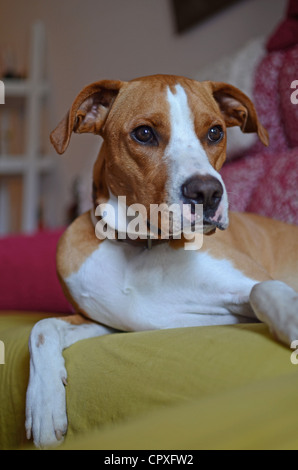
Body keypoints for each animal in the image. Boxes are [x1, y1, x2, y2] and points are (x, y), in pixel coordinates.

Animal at [25, 74, 298, 448]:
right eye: (144, 133)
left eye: (215, 132)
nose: (207, 193)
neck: (142, 246)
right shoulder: (109, 326)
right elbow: (42, 327)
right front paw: (44, 405)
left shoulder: (253, 281)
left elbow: (266, 290)